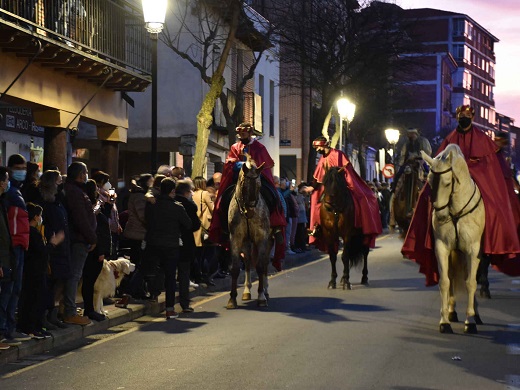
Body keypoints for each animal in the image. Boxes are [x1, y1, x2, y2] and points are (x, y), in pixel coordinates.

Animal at [226, 154, 272, 310]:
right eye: (244, 184)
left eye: (260, 185)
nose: (251, 212)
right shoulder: (236, 237)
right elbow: (235, 268)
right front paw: (232, 299)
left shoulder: (262, 237)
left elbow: (260, 266)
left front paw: (261, 297)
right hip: (246, 241)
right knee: (247, 261)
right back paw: (246, 290)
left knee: (265, 263)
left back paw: (265, 290)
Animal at [422, 145, 488, 334]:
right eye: (429, 181)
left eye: (447, 183)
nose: (440, 216)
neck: (456, 210)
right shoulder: (442, 247)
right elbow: (445, 281)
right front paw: (444, 321)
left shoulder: (473, 250)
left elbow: (471, 283)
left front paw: (470, 321)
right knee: (452, 276)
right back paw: (452, 312)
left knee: (471, 277)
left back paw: (475, 314)